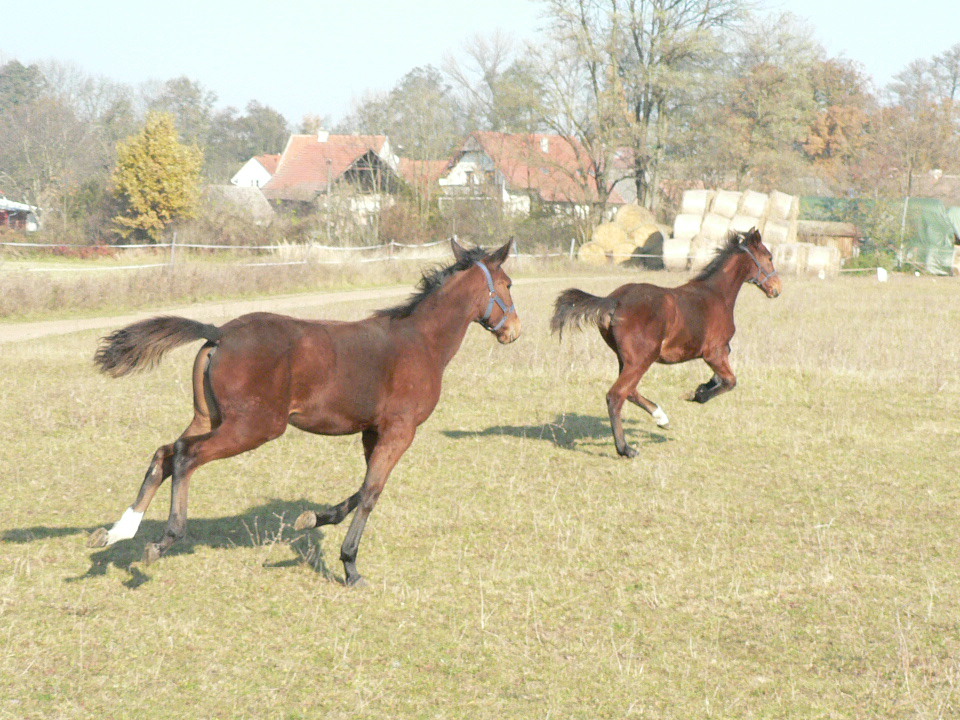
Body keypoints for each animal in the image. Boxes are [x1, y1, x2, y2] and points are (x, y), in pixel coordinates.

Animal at [89, 239, 520, 588]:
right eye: (509, 284)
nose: (513, 330)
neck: (422, 341)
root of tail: (220, 333)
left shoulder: (372, 430)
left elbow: (362, 487)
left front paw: (313, 518)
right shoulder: (400, 430)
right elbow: (371, 493)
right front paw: (350, 567)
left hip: (209, 417)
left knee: (165, 452)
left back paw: (118, 532)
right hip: (254, 426)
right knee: (185, 455)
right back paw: (165, 539)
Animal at [552, 228, 784, 458]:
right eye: (769, 257)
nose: (777, 289)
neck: (716, 294)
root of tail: (614, 301)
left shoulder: (721, 352)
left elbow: (720, 378)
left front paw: (702, 387)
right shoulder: (714, 352)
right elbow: (730, 381)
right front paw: (697, 394)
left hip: (625, 359)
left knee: (630, 392)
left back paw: (661, 418)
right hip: (642, 360)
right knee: (616, 395)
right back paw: (626, 448)